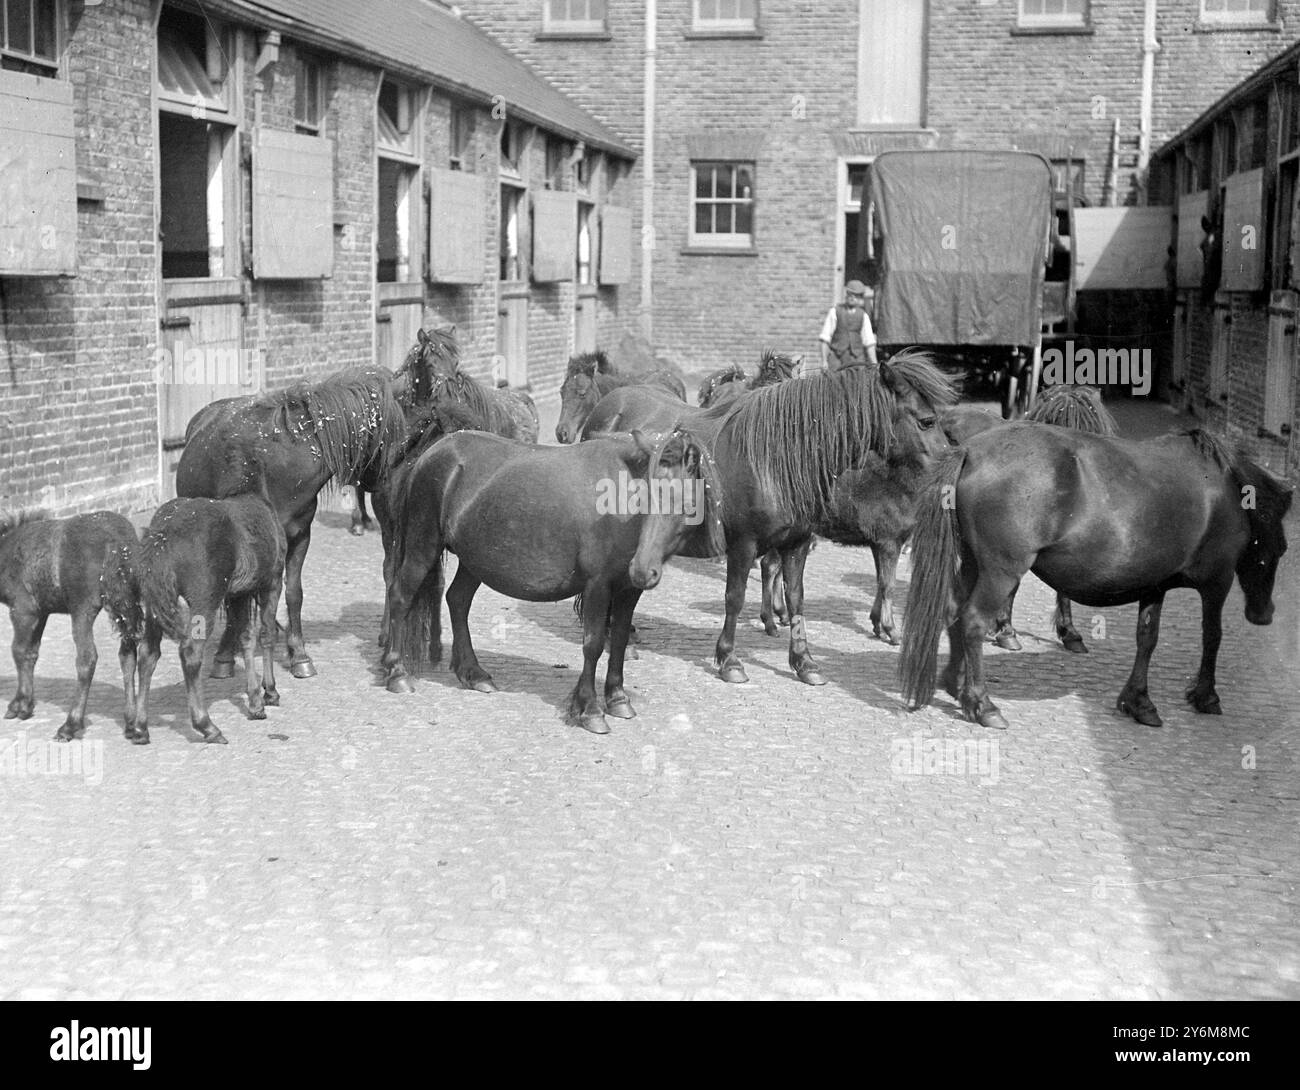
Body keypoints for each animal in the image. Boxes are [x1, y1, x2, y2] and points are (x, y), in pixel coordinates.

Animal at [0, 512, 142, 744]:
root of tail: (117, 541)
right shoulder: (42, 612)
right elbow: (31, 653)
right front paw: (26, 704)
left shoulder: (23, 610)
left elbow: (19, 652)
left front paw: (19, 704)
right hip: (126, 605)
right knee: (128, 655)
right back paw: (131, 723)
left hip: (82, 609)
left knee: (87, 659)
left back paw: (70, 725)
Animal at [904, 426, 1289, 733]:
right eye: (1281, 547)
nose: (1264, 614)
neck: (1226, 492)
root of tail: (970, 451)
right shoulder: (1217, 582)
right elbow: (1213, 637)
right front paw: (1206, 695)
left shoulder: (1155, 585)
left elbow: (1147, 639)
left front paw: (1139, 702)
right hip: (1001, 571)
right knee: (972, 621)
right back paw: (982, 704)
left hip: (972, 564)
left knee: (953, 612)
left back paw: (957, 684)